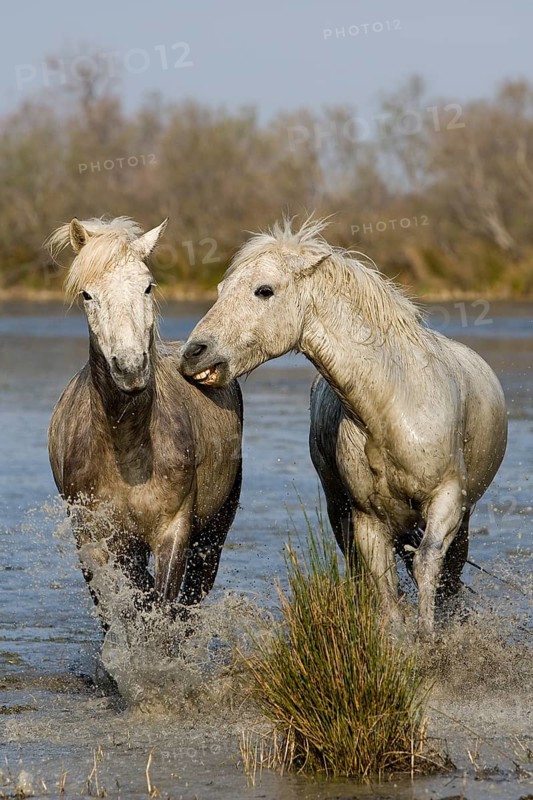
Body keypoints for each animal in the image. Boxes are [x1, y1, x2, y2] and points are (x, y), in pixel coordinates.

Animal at [47, 217, 242, 627]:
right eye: (87, 295)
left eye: (147, 285)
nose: (130, 367)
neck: (127, 450)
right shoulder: (97, 539)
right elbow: (121, 608)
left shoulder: (174, 531)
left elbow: (162, 608)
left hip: (216, 529)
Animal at [179, 217, 507, 640]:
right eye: (221, 290)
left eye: (264, 290)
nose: (193, 354)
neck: (393, 404)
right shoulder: (367, 518)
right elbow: (386, 588)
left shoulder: (447, 500)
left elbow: (427, 568)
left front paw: (429, 638)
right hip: (342, 511)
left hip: (460, 518)